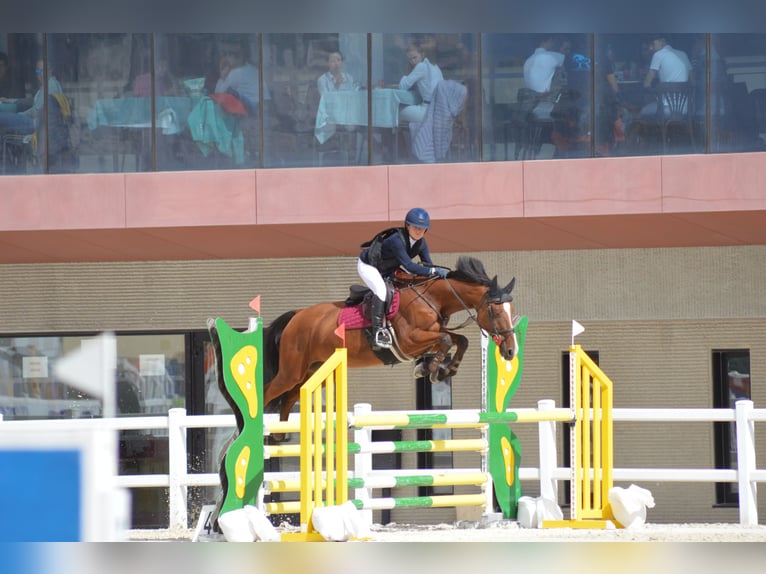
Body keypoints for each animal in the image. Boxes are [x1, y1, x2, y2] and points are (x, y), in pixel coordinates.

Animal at [260, 256, 520, 424]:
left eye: (512, 310)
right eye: (496, 312)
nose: (510, 351)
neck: (431, 297)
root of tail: (297, 315)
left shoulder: (428, 336)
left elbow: (459, 339)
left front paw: (442, 368)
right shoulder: (409, 341)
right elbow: (447, 339)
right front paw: (433, 369)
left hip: (312, 371)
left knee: (288, 399)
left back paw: (279, 437)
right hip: (291, 372)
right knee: (268, 392)